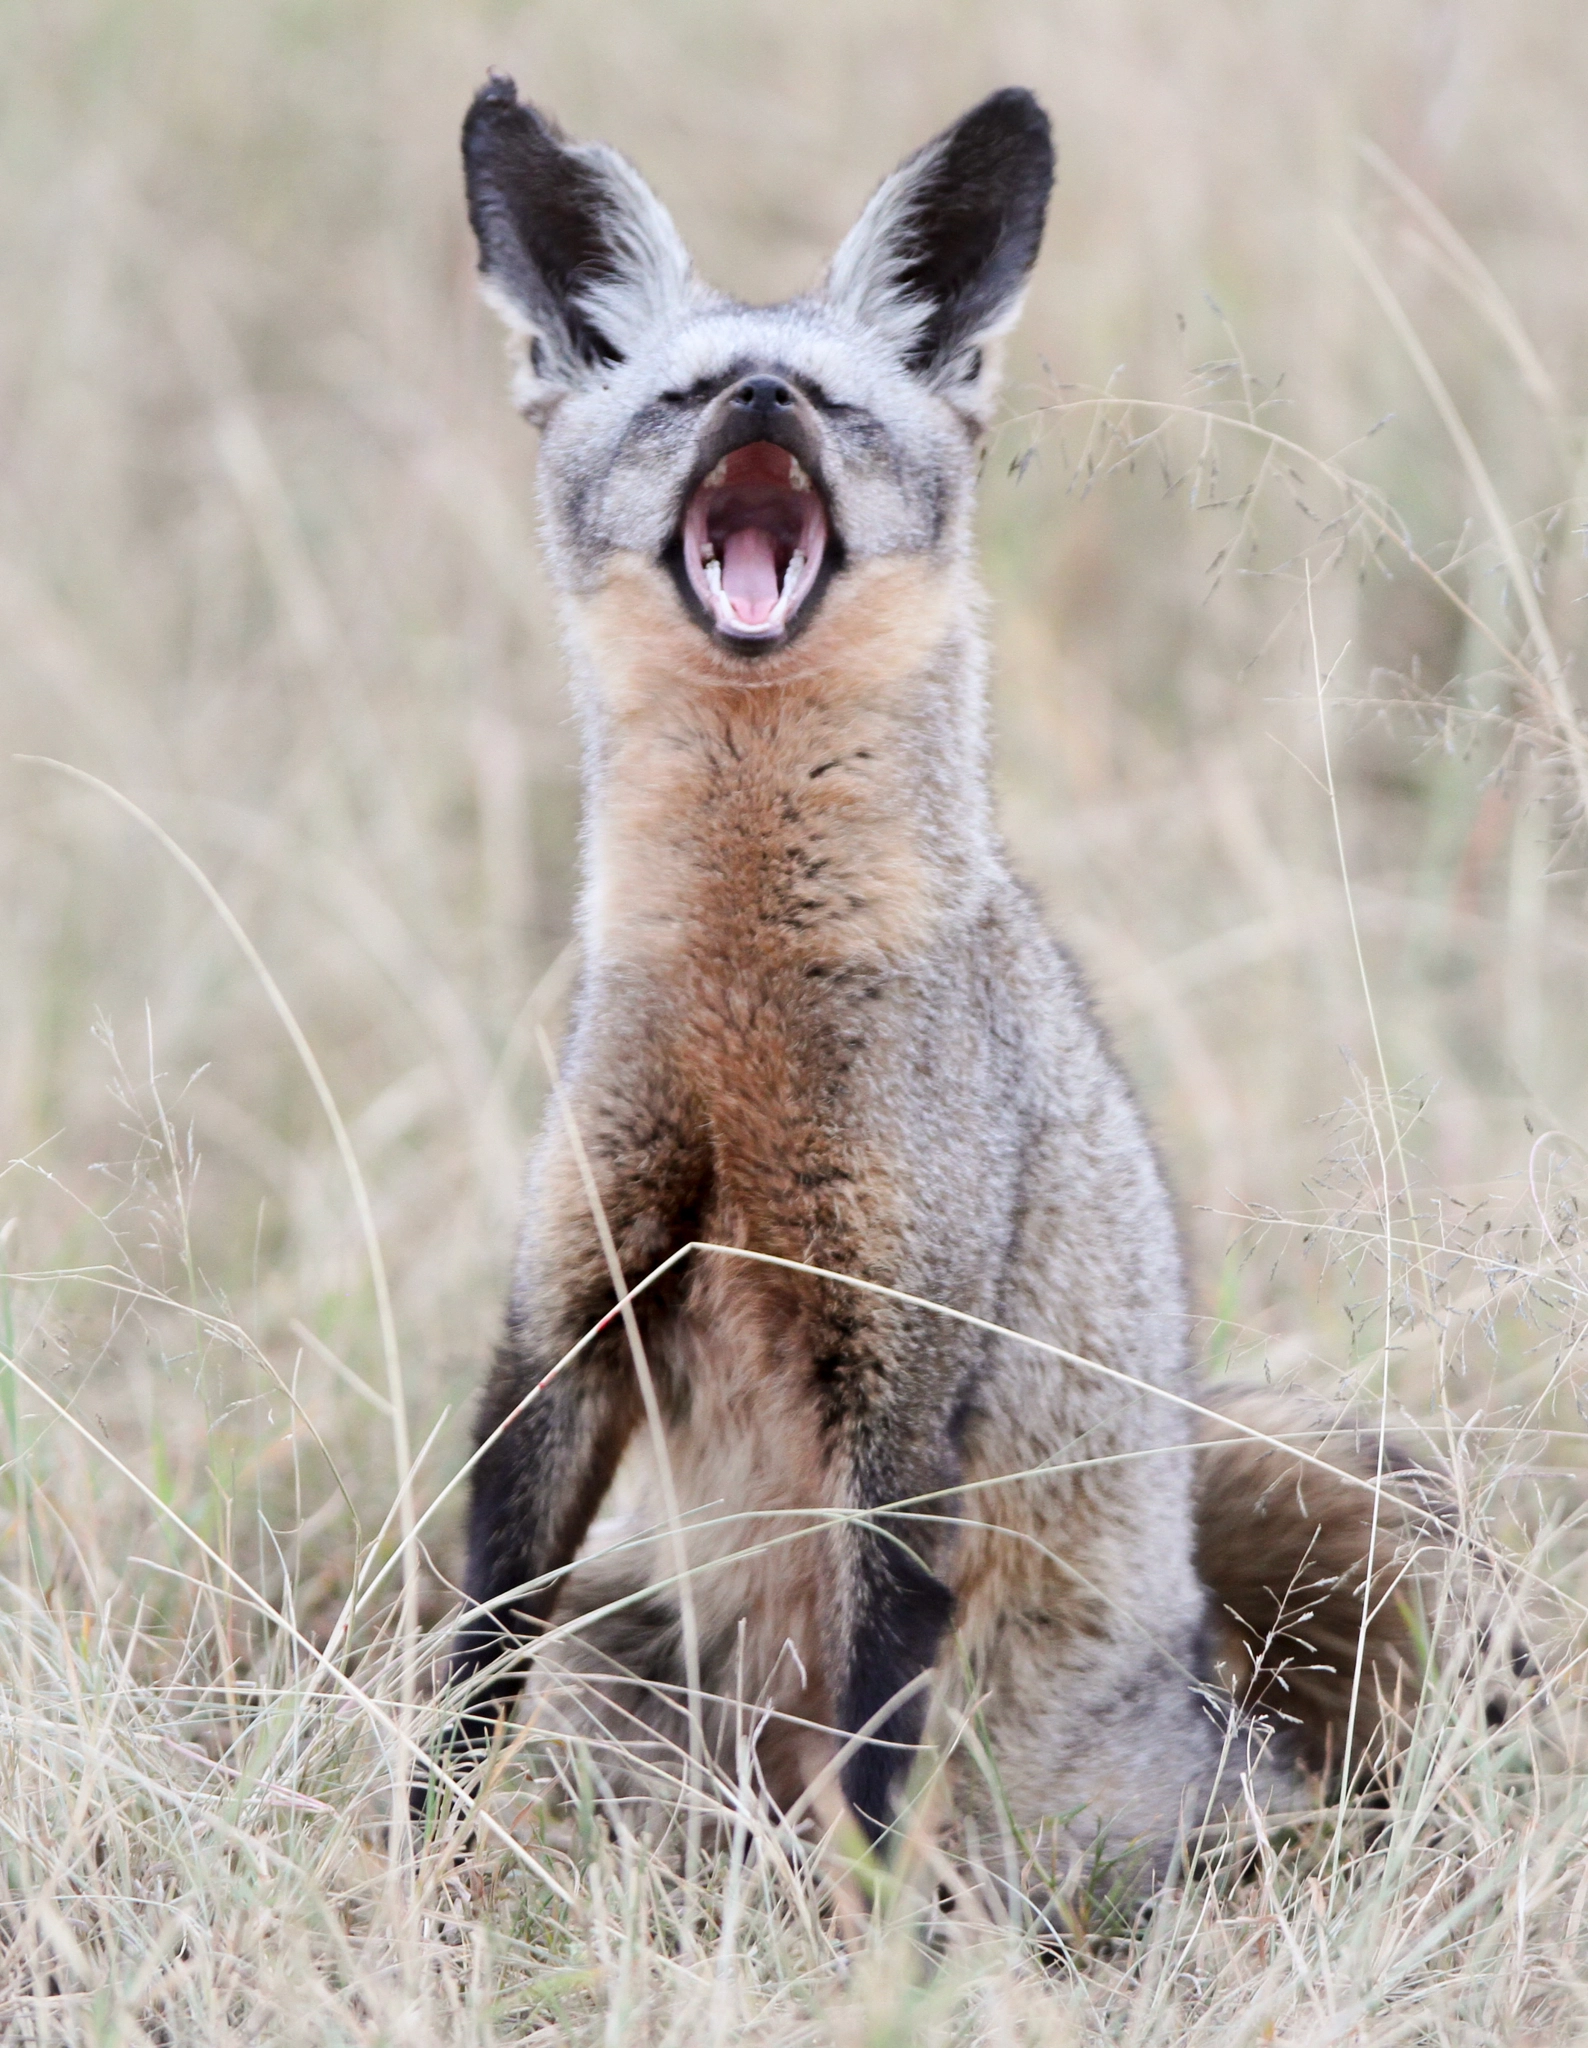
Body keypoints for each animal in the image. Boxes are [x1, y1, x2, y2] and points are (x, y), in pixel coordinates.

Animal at [420, 68, 1491, 1916]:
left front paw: (873, 1959)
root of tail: (1221, 1711)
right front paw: (401, 1862)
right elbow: (472, 1667)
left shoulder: (904, 1372)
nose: (765, 392)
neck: (742, 1015)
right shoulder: (572, 1306)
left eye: (833, 402)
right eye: (686, 391)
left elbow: (873, 1749)